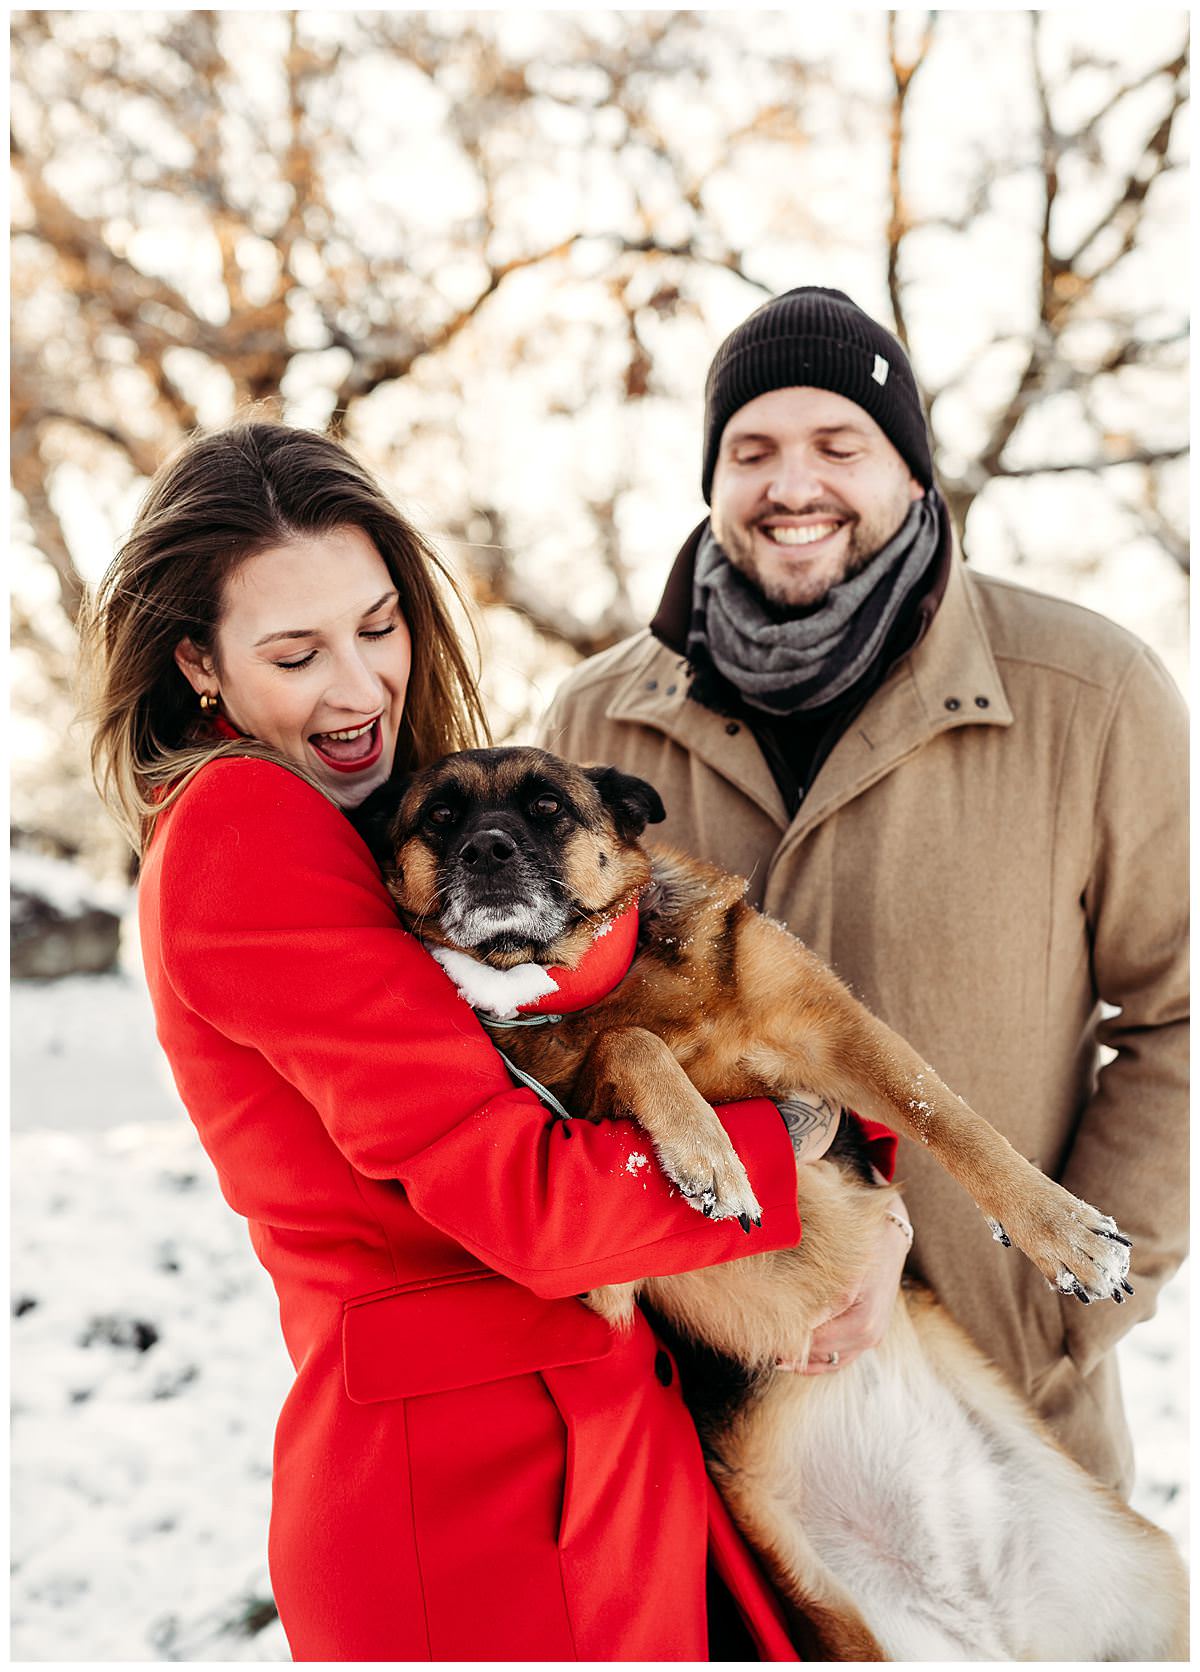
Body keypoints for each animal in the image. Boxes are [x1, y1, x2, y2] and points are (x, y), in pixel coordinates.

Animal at [354, 752, 1183, 1665]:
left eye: (546, 807)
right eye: (439, 817)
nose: (487, 850)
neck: (617, 981)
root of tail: (997, 1630)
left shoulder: (840, 1034)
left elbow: (952, 1119)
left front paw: (1063, 1230)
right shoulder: (596, 1282)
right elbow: (626, 1047)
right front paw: (707, 1152)